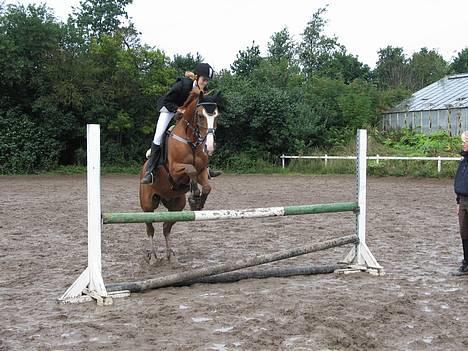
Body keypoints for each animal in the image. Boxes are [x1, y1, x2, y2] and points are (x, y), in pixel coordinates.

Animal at [139, 88, 221, 264]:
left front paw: (197, 203)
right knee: (150, 228)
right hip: (148, 205)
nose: (209, 147)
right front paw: (194, 194)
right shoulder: (175, 171)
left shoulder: (203, 171)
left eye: (217, 116)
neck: (192, 140)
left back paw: (170, 255)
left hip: (176, 206)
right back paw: (153, 256)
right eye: (200, 116)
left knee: (166, 227)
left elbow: (206, 186)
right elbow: (190, 169)